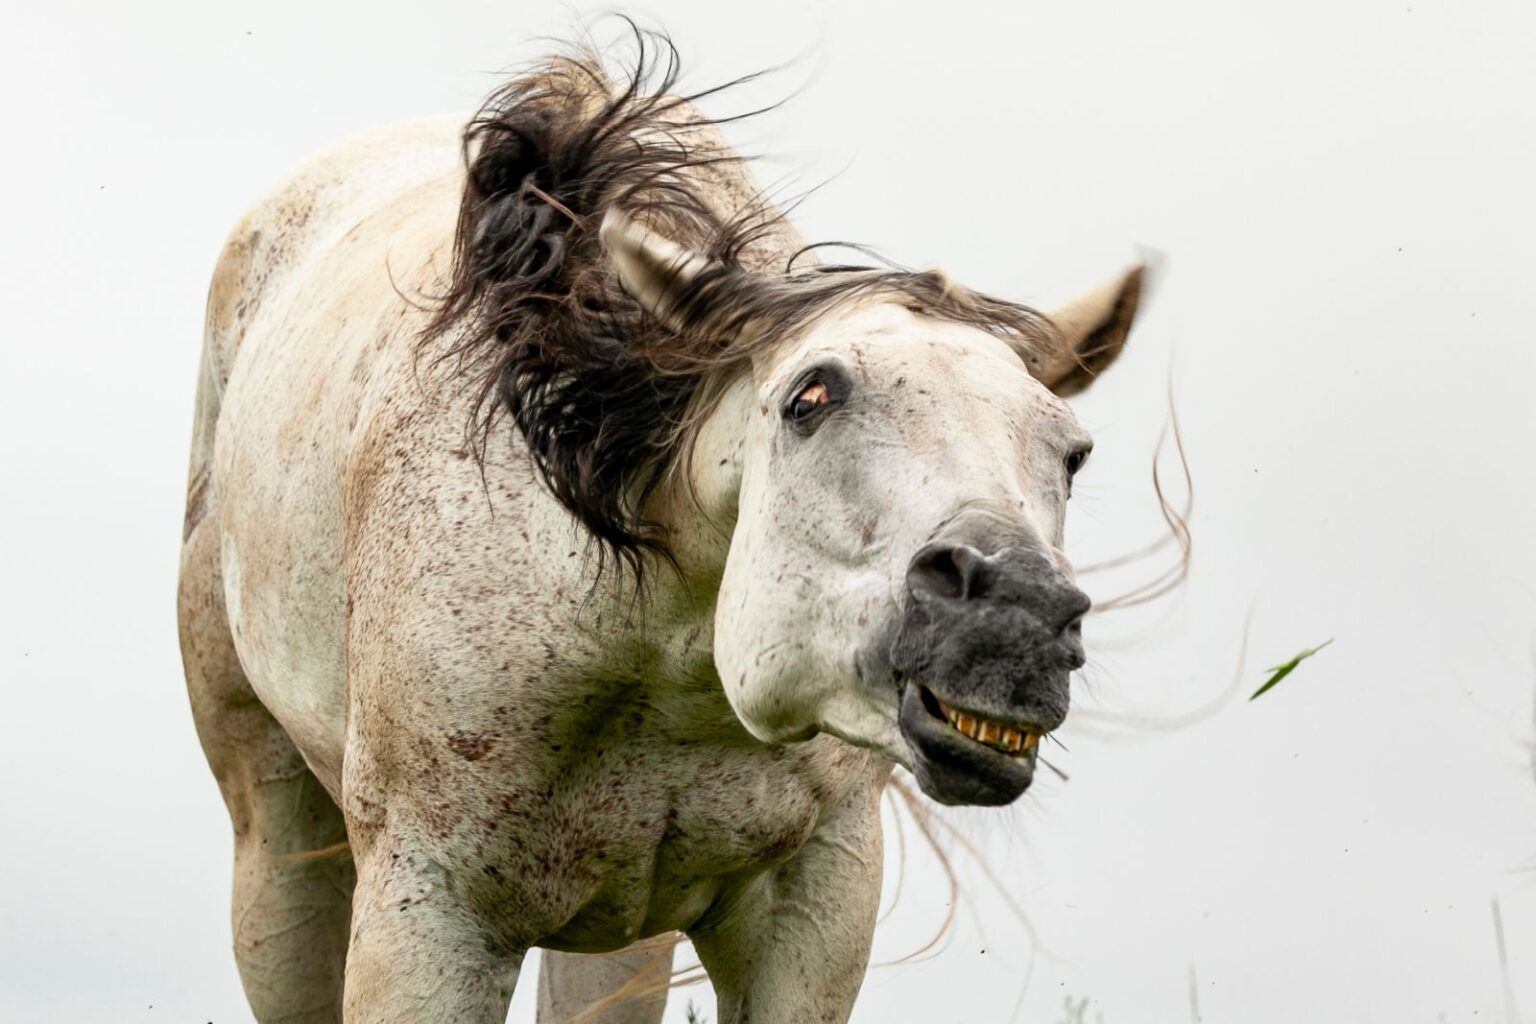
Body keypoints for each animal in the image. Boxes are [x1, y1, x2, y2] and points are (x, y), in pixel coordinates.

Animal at [177, 30, 1146, 1024]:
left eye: (1072, 452)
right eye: (810, 396)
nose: (1013, 618)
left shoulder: (813, 904)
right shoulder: (428, 910)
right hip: (278, 837)